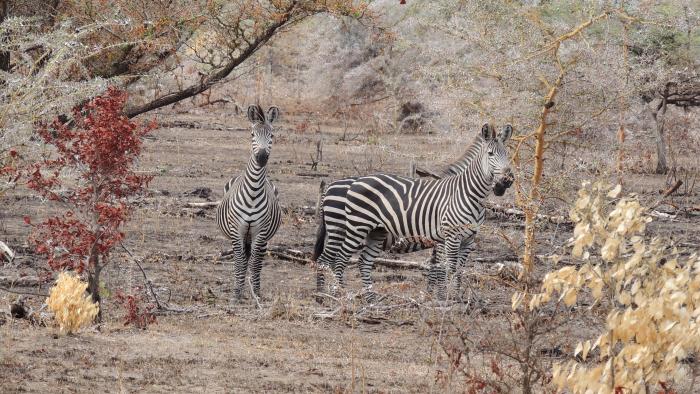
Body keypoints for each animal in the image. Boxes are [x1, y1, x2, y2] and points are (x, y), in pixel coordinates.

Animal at [216, 104, 282, 302]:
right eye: (252, 134)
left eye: (272, 135)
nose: (261, 157)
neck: (253, 191)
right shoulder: (237, 229)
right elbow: (239, 260)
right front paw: (237, 293)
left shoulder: (260, 231)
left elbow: (255, 262)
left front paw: (255, 293)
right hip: (241, 235)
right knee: (242, 258)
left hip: (261, 236)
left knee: (256, 259)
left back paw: (253, 288)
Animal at [314, 124, 512, 300]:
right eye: (490, 154)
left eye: (507, 154)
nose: (506, 182)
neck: (466, 192)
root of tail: (330, 186)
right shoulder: (447, 237)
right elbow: (443, 268)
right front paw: (442, 298)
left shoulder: (466, 240)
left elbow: (454, 270)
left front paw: (447, 297)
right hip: (348, 229)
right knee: (331, 260)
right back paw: (332, 295)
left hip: (374, 231)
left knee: (357, 261)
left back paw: (361, 298)